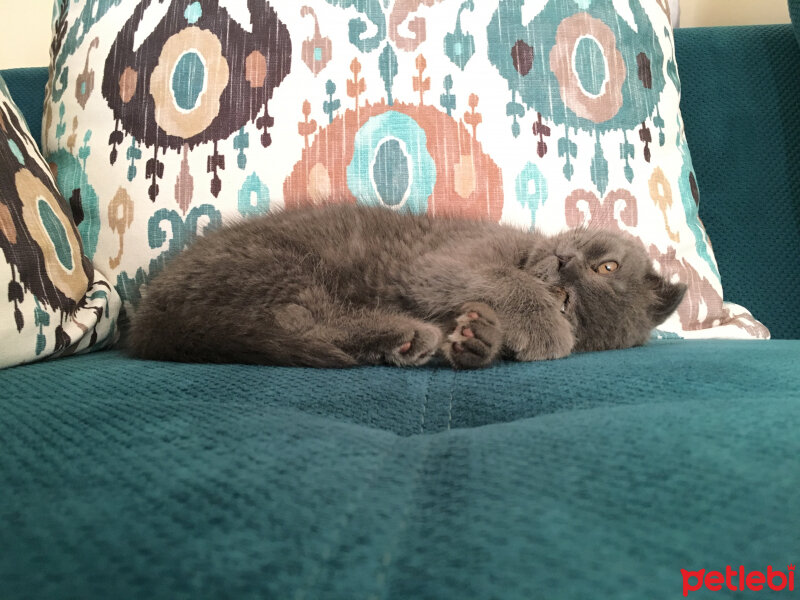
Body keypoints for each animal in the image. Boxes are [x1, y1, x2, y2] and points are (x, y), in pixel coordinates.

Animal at [128, 204, 684, 368]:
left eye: (568, 301)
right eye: (606, 267)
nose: (565, 263)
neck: (526, 250)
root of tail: (151, 319)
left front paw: (482, 340)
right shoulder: (446, 259)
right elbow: (504, 278)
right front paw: (544, 330)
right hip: (281, 266)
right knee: (297, 322)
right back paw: (408, 335)